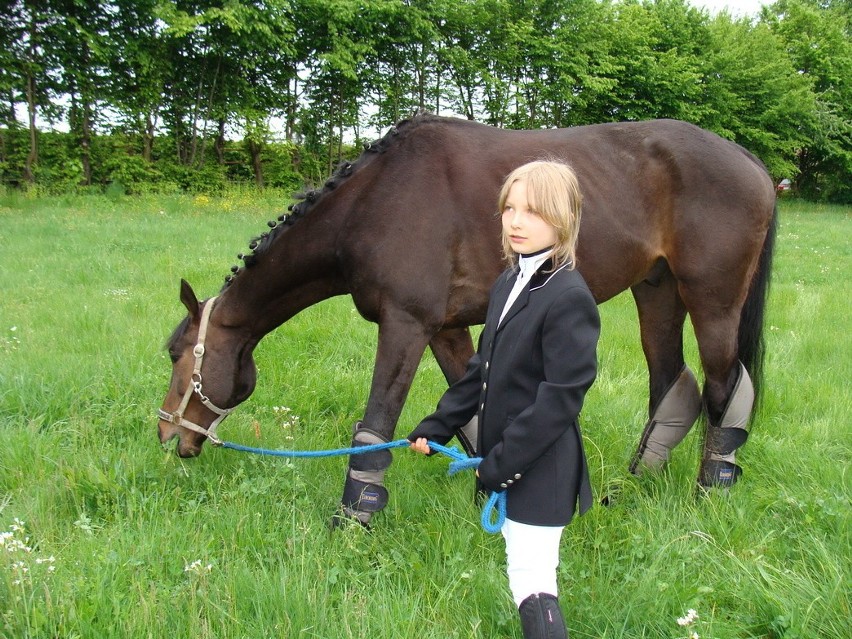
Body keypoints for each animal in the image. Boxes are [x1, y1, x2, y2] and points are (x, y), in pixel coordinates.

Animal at [156, 112, 776, 528]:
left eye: (175, 354)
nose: (167, 436)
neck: (375, 201)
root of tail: (753, 163)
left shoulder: (405, 326)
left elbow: (376, 423)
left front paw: (354, 519)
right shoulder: (447, 330)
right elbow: (472, 416)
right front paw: (488, 494)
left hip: (713, 300)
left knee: (724, 386)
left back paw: (711, 492)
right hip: (658, 293)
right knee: (671, 384)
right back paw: (630, 487)